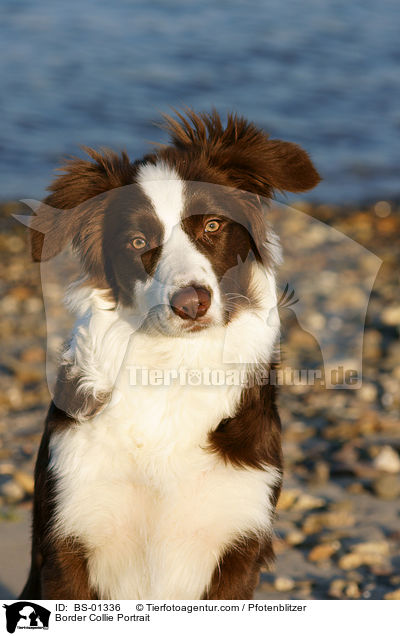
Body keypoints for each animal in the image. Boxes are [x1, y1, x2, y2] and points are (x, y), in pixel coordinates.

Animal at [20, 109, 318, 600]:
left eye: (212, 225)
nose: (191, 303)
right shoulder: (70, 538)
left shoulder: (237, 544)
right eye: (138, 242)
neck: (172, 367)